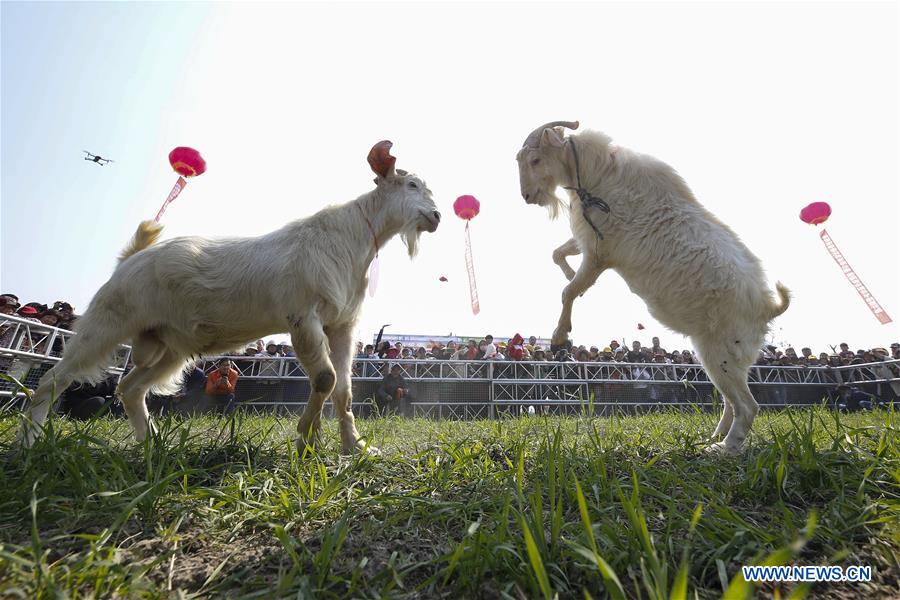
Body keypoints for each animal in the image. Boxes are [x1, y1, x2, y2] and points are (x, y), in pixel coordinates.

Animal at [22, 141, 442, 454]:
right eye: (410, 185)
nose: (437, 216)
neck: (350, 238)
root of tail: (129, 260)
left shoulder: (341, 325)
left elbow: (343, 390)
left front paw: (354, 447)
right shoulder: (302, 317)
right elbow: (324, 378)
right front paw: (305, 438)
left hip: (169, 346)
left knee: (130, 388)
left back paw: (152, 443)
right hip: (107, 321)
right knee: (53, 379)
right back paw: (31, 441)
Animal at [516, 119, 792, 452]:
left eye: (535, 160)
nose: (527, 196)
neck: (600, 175)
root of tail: (767, 307)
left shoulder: (599, 253)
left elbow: (567, 291)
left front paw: (559, 337)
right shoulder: (591, 244)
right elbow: (558, 255)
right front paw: (569, 277)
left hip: (721, 352)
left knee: (748, 405)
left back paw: (724, 449)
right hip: (720, 356)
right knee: (731, 401)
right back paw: (713, 438)